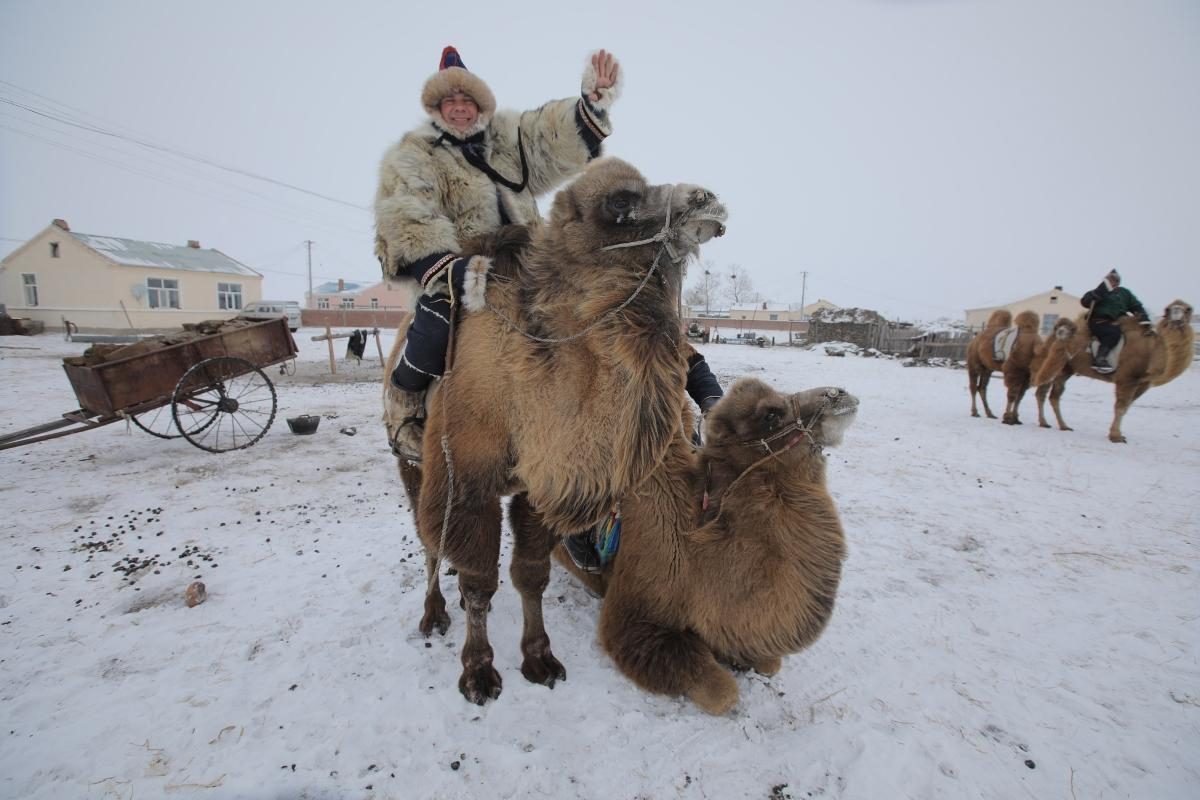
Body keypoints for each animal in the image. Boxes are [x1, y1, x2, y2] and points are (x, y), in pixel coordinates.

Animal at [384, 158, 724, 705]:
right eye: (620, 204)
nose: (706, 200)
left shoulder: (538, 483)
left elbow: (531, 574)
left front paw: (539, 660)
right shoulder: (467, 477)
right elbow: (479, 580)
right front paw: (479, 672)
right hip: (409, 459)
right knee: (427, 537)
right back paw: (434, 613)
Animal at [556, 379, 859, 714]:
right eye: (770, 414)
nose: (838, 393)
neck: (693, 552)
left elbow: (769, 663)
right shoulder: (635, 614)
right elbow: (721, 693)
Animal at [1027, 299, 1195, 443]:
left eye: (1188, 309)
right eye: (1168, 309)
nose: (1177, 314)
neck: (1151, 350)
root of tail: (1053, 335)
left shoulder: (1144, 383)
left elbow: (1127, 407)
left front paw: (1118, 434)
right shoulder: (1127, 378)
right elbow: (1120, 407)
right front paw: (1116, 437)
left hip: (1066, 370)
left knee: (1053, 395)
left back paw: (1062, 425)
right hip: (1057, 366)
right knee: (1043, 392)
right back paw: (1046, 423)